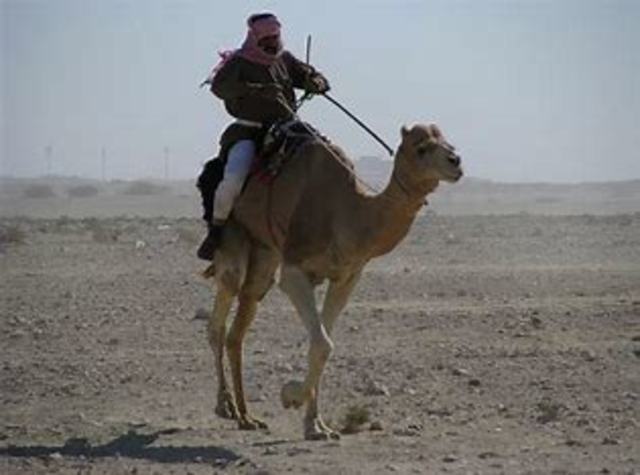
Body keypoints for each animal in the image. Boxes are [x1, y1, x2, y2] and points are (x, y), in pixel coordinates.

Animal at [204, 123, 463, 440]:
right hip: (234, 235)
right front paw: (289, 395)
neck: (351, 212)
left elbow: (321, 344)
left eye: (448, 142)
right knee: (221, 314)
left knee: (241, 319)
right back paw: (225, 406)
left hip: (264, 254)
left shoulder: (346, 278)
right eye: (421, 148)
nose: (456, 162)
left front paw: (316, 425)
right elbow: (324, 344)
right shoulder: (295, 270)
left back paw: (246, 416)